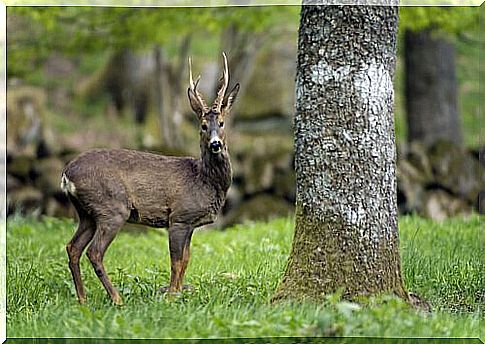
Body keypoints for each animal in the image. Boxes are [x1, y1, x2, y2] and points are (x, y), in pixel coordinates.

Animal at [61, 52, 239, 306]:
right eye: (203, 126)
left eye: (221, 123)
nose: (215, 144)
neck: (203, 180)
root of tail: (67, 174)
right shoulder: (179, 217)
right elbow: (176, 261)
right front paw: (172, 296)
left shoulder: (191, 223)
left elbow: (186, 260)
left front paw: (178, 293)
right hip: (111, 207)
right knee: (94, 251)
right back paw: (116, 299)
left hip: (86, 212)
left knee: (72, 247)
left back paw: (83, 299)